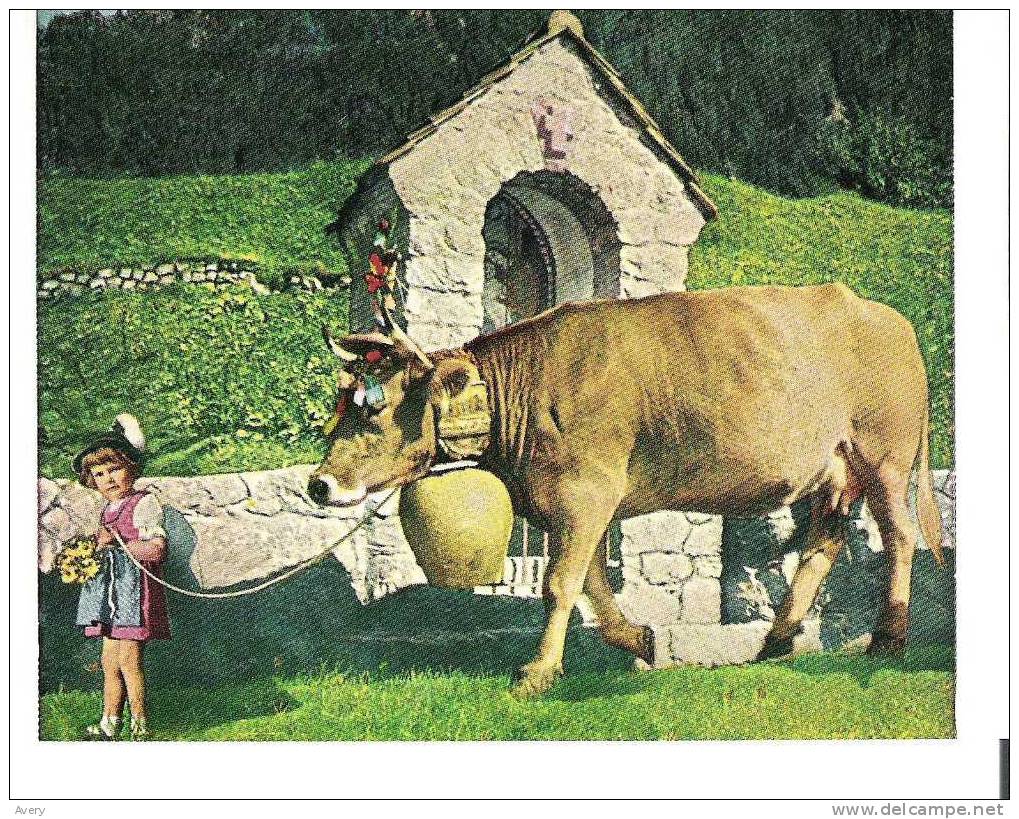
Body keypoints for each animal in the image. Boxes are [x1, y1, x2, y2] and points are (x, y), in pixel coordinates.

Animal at [307, 285, 937, 700]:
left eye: (375, 409)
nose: (318, 483)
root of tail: (887, 317)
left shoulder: (587, 489)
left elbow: (559, 584)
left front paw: (538, 673)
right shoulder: (568, 502)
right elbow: (589, 582)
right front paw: (637, 641)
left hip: (885, 455)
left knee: (899, 536)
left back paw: (889, 636)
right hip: (833, 472)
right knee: (822, 545)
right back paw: (776, 640)